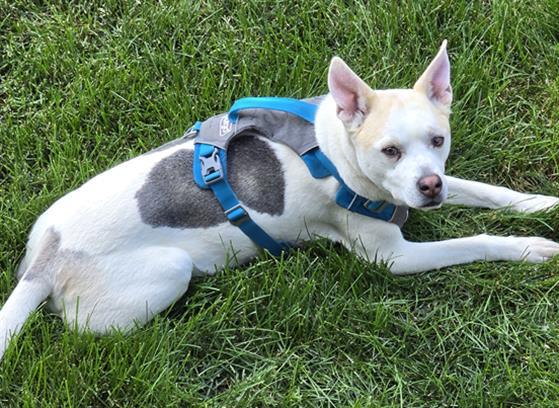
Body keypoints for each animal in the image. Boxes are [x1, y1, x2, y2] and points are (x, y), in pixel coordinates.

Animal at [1, 42, 559, 360]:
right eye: (390, 151)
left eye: (438, 140)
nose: (429, 187)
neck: (336, 151)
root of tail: (47, 257)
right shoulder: (393, 257)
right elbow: (475, 241)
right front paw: (530, 247)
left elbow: (490, 192)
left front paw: (542, 205)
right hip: (167, 270)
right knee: (82, 329)